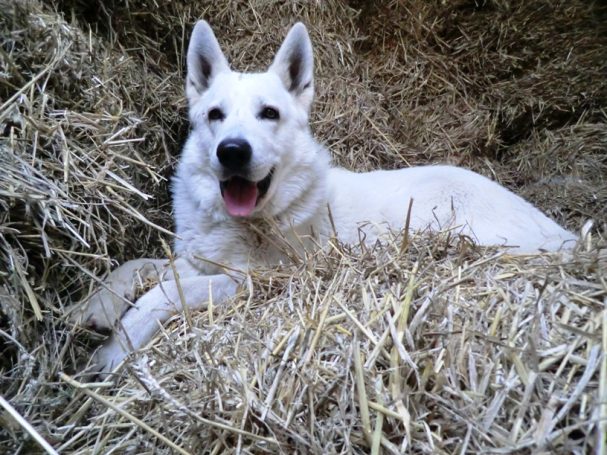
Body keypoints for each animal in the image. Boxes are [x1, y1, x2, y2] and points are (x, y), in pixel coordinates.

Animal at [78, 21, 576, 376]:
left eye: (269, 114)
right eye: (215, 115)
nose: (232, 151)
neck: (249, 219)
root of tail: (562, 232)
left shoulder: (257, 280)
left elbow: (161, 292)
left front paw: (116, 346)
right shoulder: (198, 258)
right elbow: (138, 267)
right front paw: (95, 306)